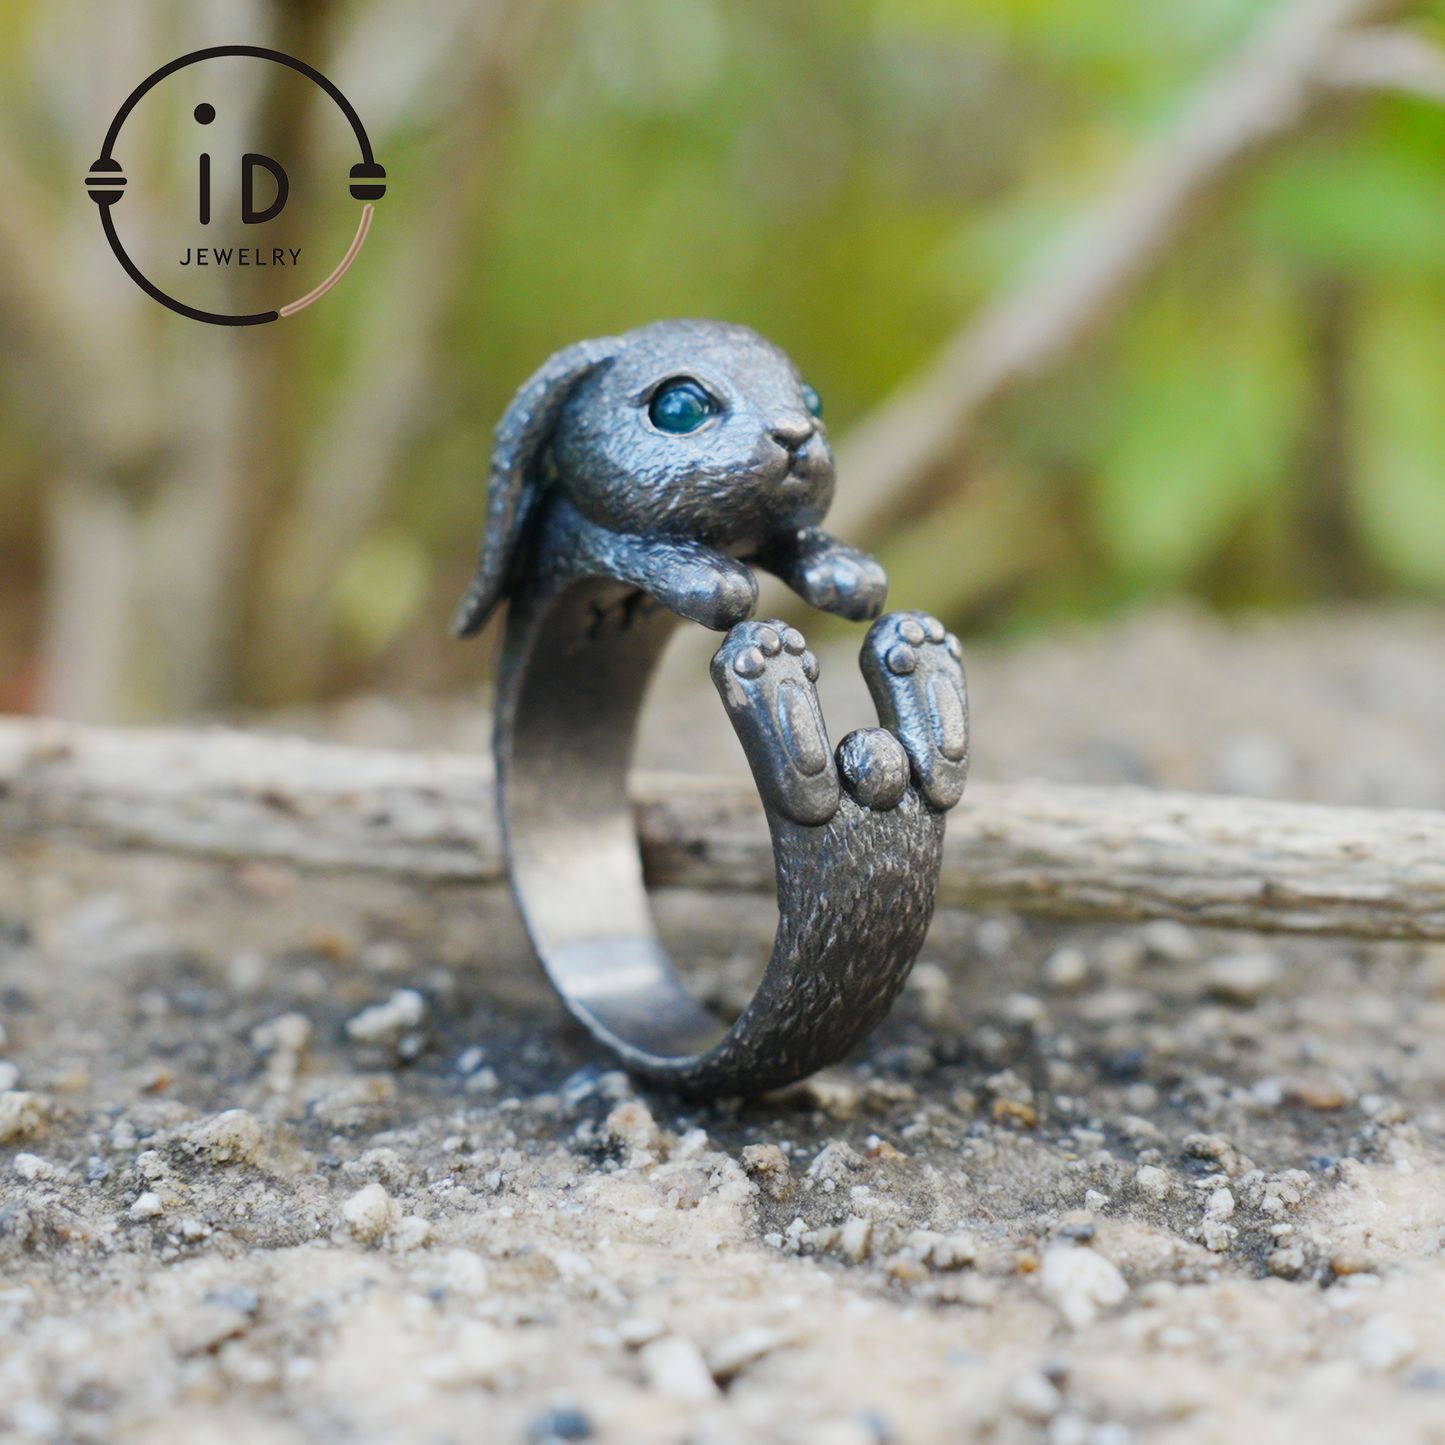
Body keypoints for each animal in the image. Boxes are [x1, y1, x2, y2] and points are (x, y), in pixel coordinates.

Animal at [451, 318, 888, 637]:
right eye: (678, 408)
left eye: (812, 401)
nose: (796, 434)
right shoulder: (592, 535)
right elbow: (620, 541)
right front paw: (712, 575)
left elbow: (789, 537)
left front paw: (844, 567)